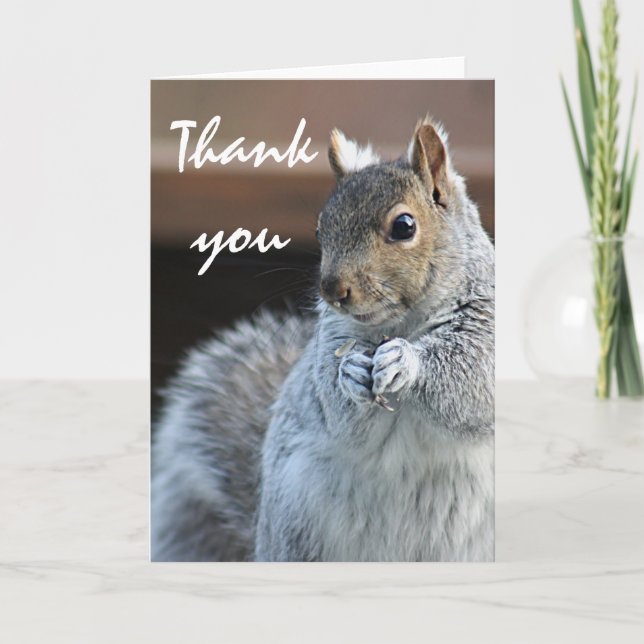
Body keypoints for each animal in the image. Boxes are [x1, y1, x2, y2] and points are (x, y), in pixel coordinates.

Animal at [151, 116, 495, 562]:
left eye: (404, 226)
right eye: (320, 229)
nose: (333, 290)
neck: (401, 324)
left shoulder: (487, 329)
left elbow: (471, 386)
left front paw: (406, 361)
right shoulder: (329, 342)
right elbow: (335, 408)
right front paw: (349, 372)